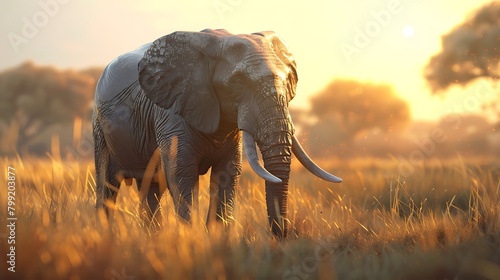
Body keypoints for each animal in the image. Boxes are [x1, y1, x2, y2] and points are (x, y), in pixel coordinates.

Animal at [92, 29, 342, 238]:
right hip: (99, 126)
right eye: (238, 82)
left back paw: (152, 238)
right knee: (108, 186)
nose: (280, 236)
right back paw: (106, 236)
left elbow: (227, 172)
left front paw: (216, 239)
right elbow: (180, 172)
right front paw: (191, 239)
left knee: (150, 189)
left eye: (287, 79)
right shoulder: (172, 115)